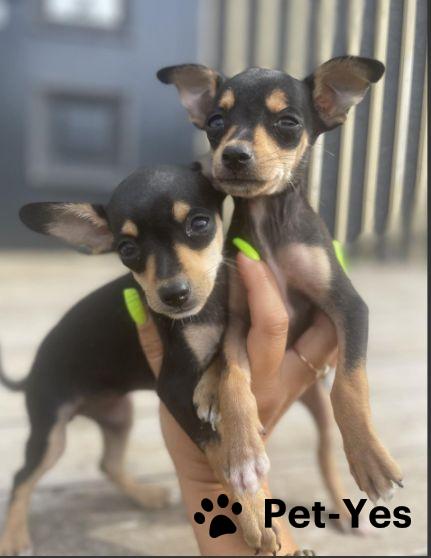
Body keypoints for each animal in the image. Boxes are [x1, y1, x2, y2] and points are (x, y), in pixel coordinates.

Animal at [157, 55, 403, 552]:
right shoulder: (240, 320)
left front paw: (371, 459)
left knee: (326, 448)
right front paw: (241, 453)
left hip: (321, 409)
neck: (270, 220)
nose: (233, 155)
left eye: (288, 123)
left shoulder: (349, 305)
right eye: (215, 123)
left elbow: (350, 384)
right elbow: (234, 375)